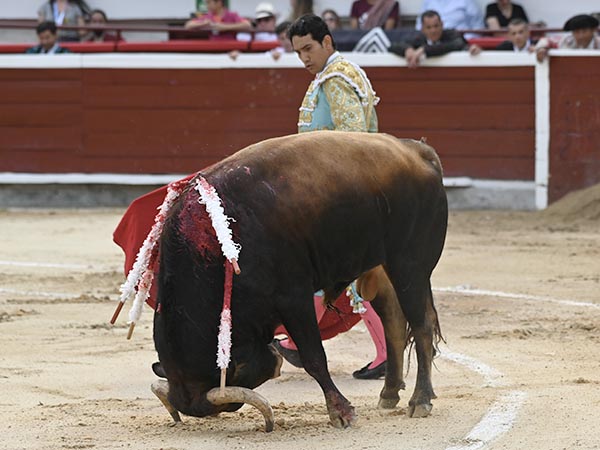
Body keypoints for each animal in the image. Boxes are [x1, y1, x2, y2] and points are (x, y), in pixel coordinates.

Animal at [150, 131, 447, 429]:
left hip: (410, 264)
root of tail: (417, 151)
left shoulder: (294, 297)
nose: (275, 361)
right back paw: (390, 394)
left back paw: (420, 400)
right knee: (394, 323)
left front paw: (341, 412)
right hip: (381, 267)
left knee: (421, 325)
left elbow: (314, 357)